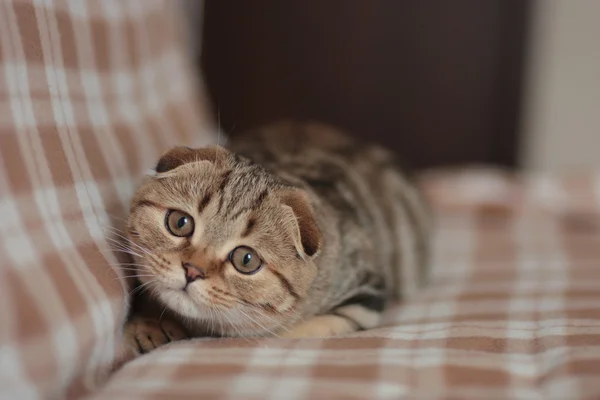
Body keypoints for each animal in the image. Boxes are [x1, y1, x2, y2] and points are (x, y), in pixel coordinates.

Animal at [122, 121, 432, 354]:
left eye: (246, 259)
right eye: (180, 223)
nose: (192, 270)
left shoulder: (366, 293)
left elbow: (293, 331)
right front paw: (148, 325)